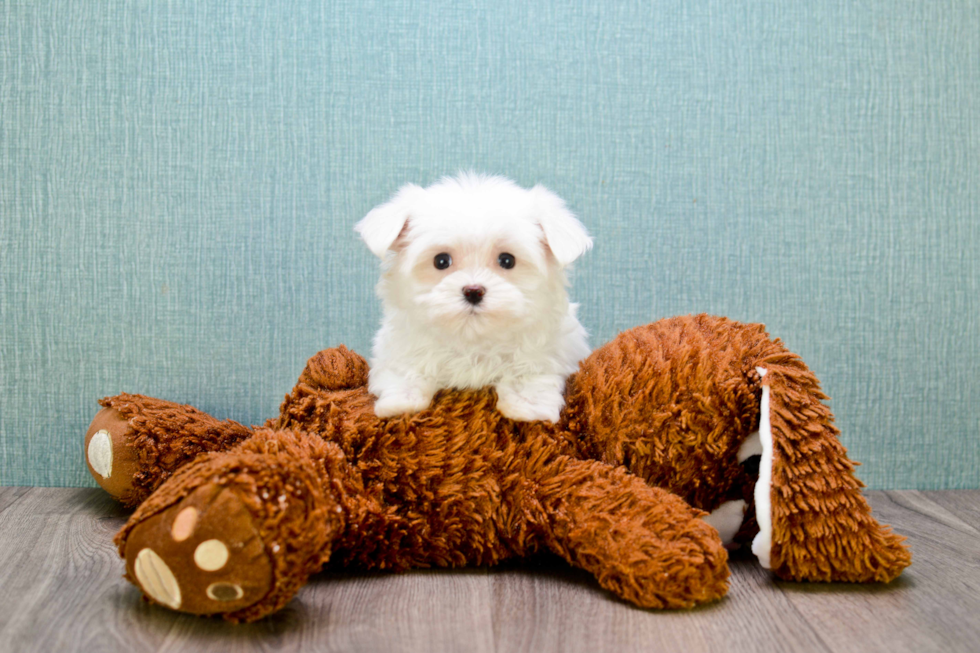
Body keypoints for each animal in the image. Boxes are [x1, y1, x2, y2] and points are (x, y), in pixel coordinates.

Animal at [356, 172, 592, 422]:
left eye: (507, 260)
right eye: (441, 261)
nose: (473, 291)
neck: (472, 338)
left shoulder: (548, 352)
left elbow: (528, 374)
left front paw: (528, 407)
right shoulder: (400, 348)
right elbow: (405, 370)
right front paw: (401, 403)